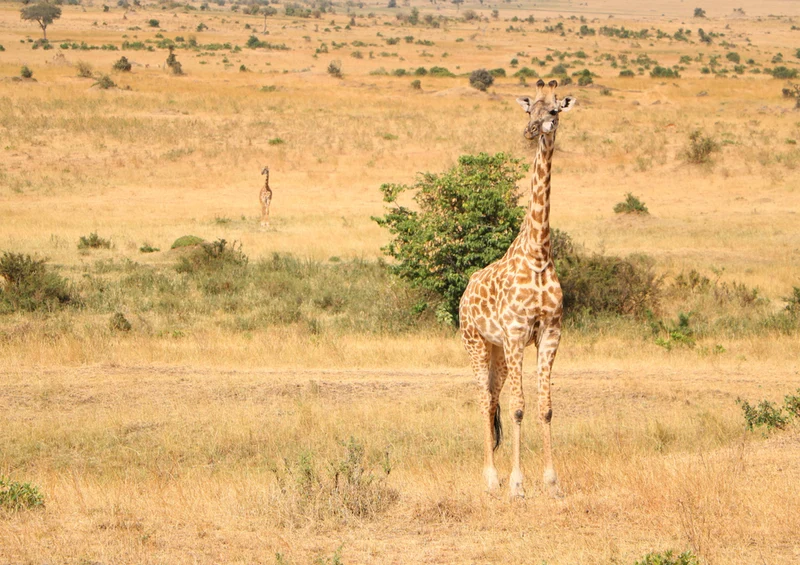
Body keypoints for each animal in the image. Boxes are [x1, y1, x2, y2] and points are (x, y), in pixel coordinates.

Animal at [459, 79, 575, 499]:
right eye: (529, 110)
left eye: (554, 110)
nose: (531, 131)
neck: (538, 253)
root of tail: (465, 291)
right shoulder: (515, 333)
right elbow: (519, 408)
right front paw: (517, 484)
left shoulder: (549, 334)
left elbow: (545, 407)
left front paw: (553, 483)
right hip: (476, 342)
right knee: (483, 400)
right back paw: (491, 479)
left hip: (497, 350)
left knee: (493, 398)